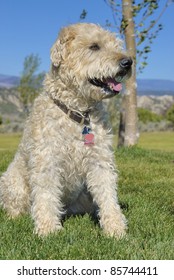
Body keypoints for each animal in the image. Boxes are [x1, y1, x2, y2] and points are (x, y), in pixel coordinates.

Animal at [0, 24, 133, 237]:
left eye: (116, 45)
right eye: (94, 46)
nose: (128, 62)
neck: (78, 113)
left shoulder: (100, 160)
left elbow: (108, 195)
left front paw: (115, 228)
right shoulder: (47, 160)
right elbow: (46, 195)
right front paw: (48, 229)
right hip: (12, 182)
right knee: (16, 206)